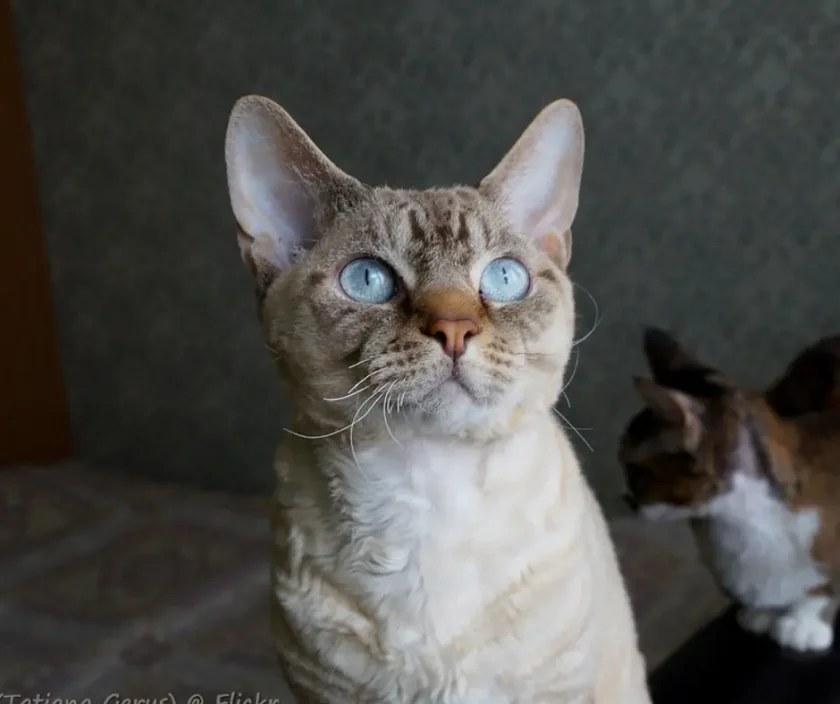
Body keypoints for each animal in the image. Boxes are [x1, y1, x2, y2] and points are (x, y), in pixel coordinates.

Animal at [616, 330, 840, 656]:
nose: (626, 500)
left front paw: (805, 624)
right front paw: (762, 613)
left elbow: (821, 589)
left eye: (635, 473)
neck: (743, 521)